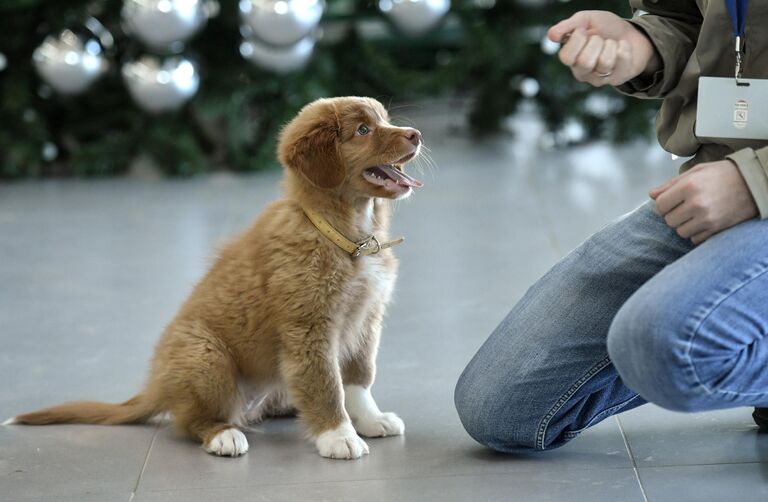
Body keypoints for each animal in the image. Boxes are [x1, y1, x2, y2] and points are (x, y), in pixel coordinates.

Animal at [6, 95, 424, 458]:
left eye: (384, 120)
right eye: (363, 130)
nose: (416, 134)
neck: (348, 237)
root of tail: (156, 387)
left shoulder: (367, 319)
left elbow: (358, 377)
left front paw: (369, 419)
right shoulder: (309, 327)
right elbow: (325, 385)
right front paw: (338, 435)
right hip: (207, 357)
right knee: (191, 420)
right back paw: (224, 435)